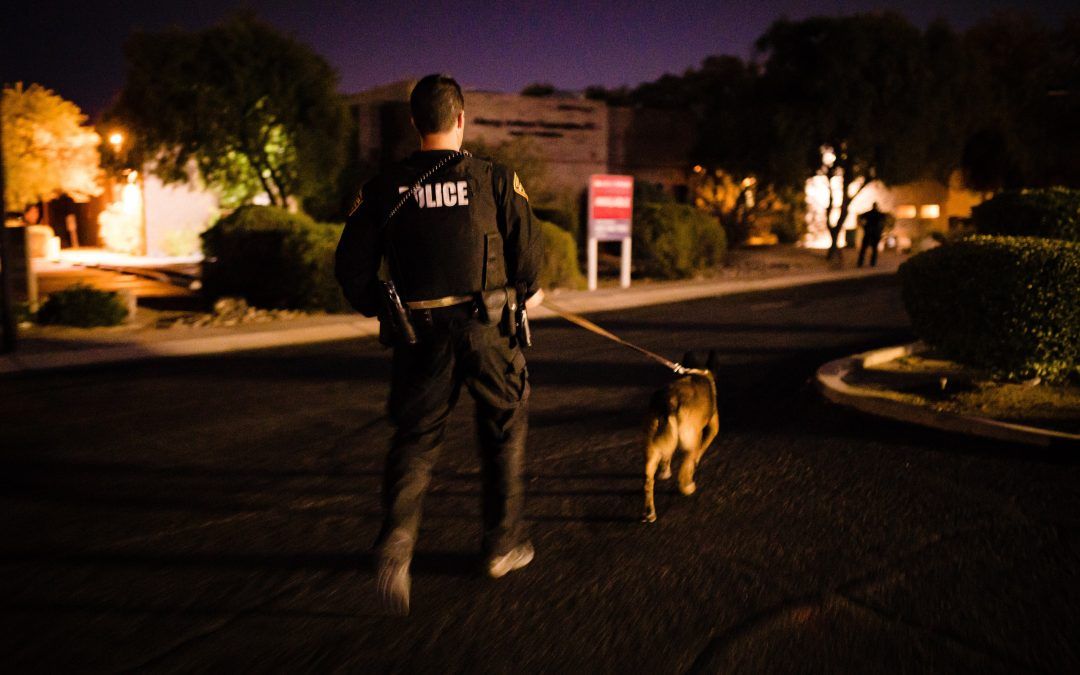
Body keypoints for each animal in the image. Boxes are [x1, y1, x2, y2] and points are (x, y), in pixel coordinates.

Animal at [639, 349, 717, 524]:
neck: (698, 371)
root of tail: (670, 403)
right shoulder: (713, 427)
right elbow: (703, 447)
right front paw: (696, 462)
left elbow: (667, 457)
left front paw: (665, 470)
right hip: (691, 443)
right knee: (684, 470)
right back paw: (688, 487)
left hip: (651, 448)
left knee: (648, 481)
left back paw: (649, 512)